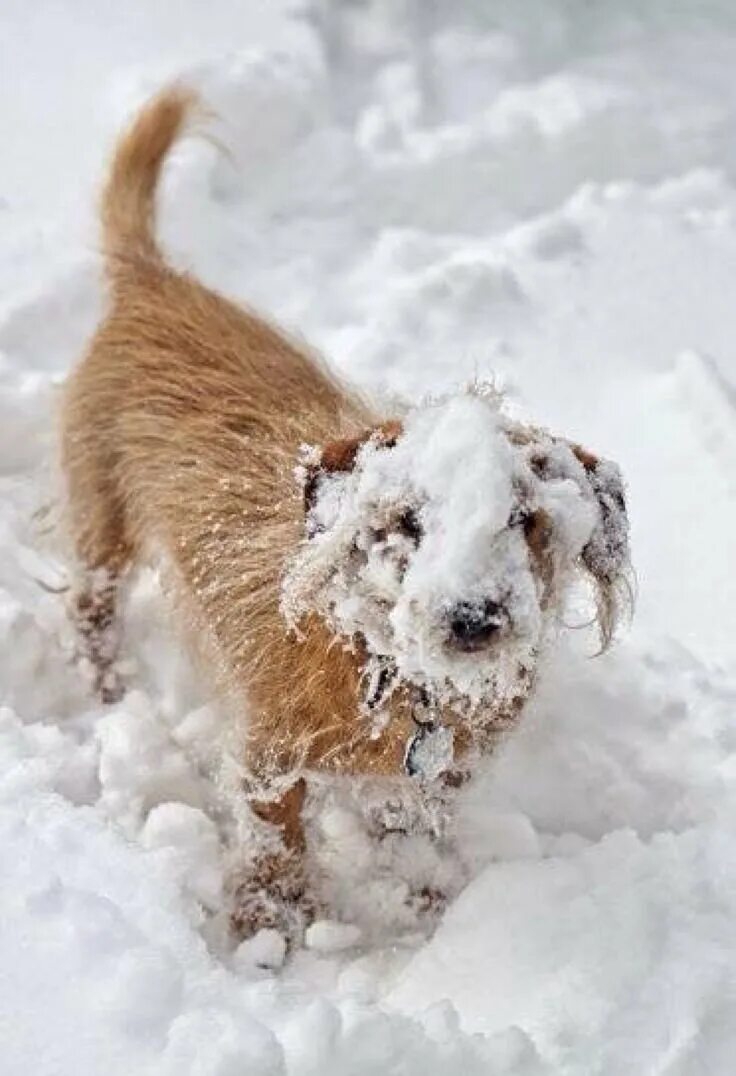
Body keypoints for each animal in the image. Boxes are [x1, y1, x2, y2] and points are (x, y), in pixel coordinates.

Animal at [58, 86, 632, 942]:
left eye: (523, 519)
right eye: (408, 521)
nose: (473, 619)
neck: (382, 659)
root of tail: (151, 279)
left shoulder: (432, 778)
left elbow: (410, 827)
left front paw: (421, 903)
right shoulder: (270, 757)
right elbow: (274, 841)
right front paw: (268, 931)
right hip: (102, 519)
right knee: (89, 609)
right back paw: (106, 689)